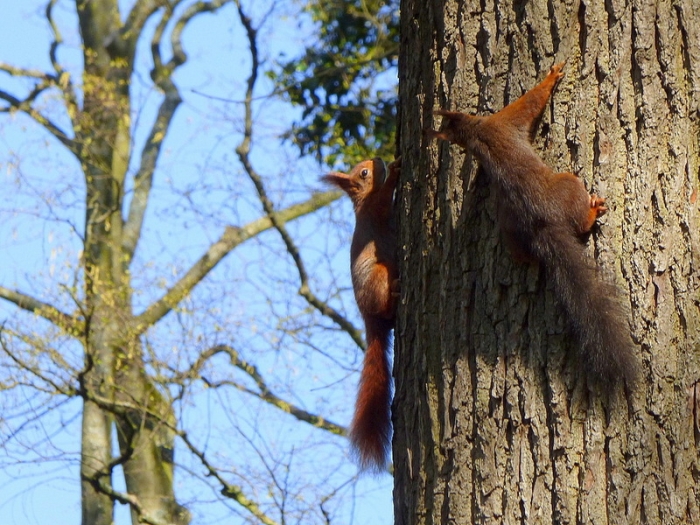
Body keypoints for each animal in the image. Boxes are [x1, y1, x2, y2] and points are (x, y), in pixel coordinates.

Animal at [429, 62, 638, 387]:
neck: (476, 132)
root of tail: (544, 225)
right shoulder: (505, 120)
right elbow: (529, 102)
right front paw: (552, 77)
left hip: (511, 231)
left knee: (521, 252)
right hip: (568, 184)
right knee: (580, 216)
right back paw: (592, 211)